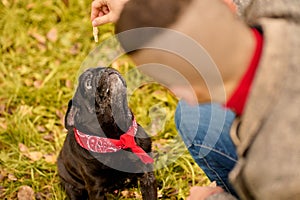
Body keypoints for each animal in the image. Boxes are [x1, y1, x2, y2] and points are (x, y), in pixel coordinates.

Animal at [57, 67, 158, 200]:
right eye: (88, 83)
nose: (104, 69)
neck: (119, 137)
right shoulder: (96, 189)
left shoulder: (147, 176)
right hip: (71, 187)